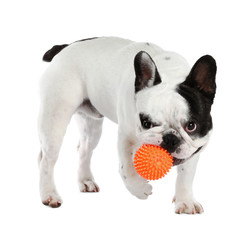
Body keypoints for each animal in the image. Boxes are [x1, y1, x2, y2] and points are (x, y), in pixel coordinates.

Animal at [37, 37, 216, 214]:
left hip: (91, 126)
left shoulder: (194, 147)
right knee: (46, 160)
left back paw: (85, 180)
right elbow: (127, 169)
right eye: (146, 123)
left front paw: (185, 201)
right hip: (55, 119)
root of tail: (65, 47)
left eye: (191, 126)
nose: (170, 138)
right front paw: (139, 188)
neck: (170, 74)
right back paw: (49, 194)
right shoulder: (126, 136)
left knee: (84, 150)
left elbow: (186, 175)